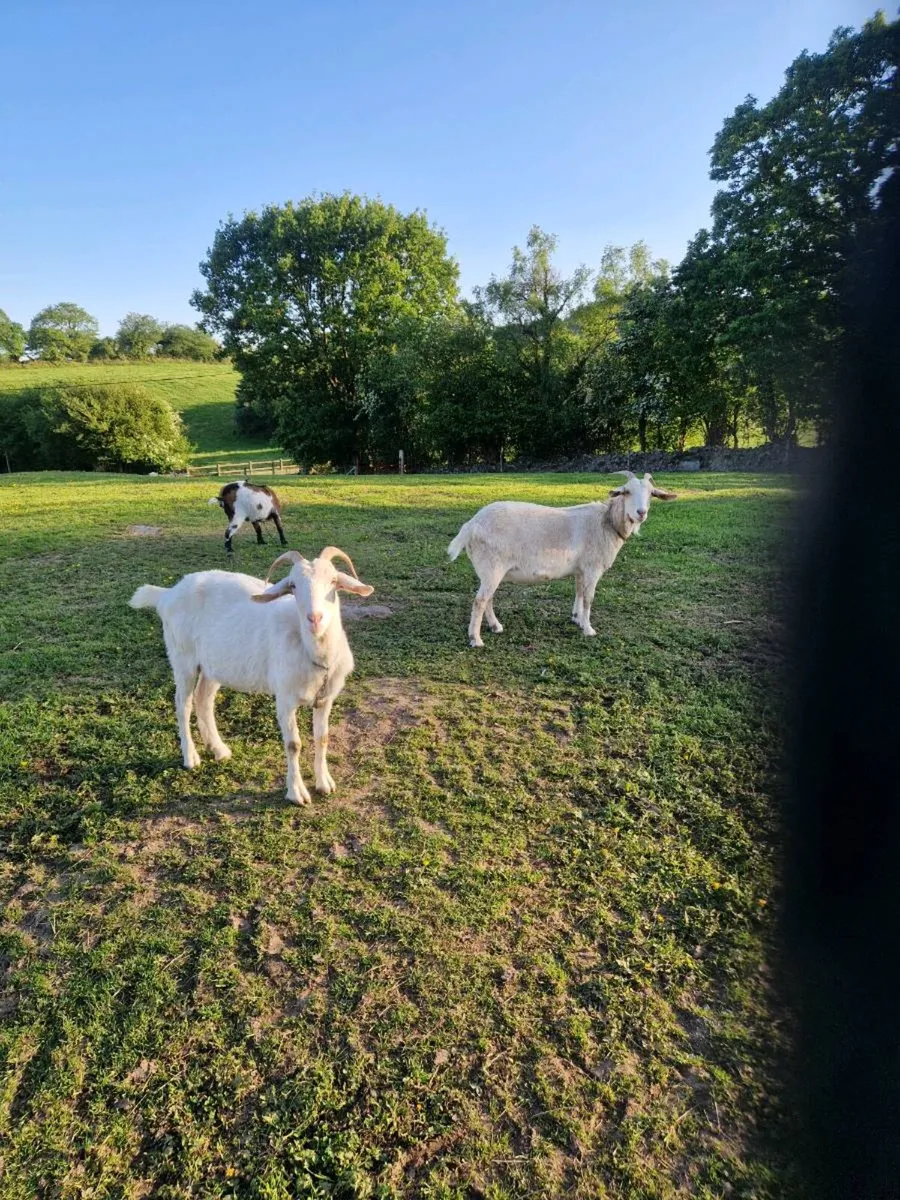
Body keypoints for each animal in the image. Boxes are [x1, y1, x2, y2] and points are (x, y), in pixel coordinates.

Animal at [129, 547, 373, 804]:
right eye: (293, 585)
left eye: (334, 581)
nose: (314, 618)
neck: (314, 653)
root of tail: (167, 594)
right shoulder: (285, 698)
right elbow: (293, 744)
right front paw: (297, 793)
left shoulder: (325, 699)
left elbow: (322, 738)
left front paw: (324, 783)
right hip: (182, 657)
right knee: (182, 704)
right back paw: (191, 757)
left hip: (214, 665)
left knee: (203, 699)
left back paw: (219, 749)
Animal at [448, 471, 677, 646]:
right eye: (627, 492)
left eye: (651, 494)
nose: (641, 512)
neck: (606, 523)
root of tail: (471, 525)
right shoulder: (593, 568)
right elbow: (589, 597)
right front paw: (589, 629)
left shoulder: (581, 569)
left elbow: (579, 593)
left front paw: (577, 620)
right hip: (492, 566)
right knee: (480, 601)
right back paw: (476, 639)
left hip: (489, 570)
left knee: (488, 598)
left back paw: (496, 626)